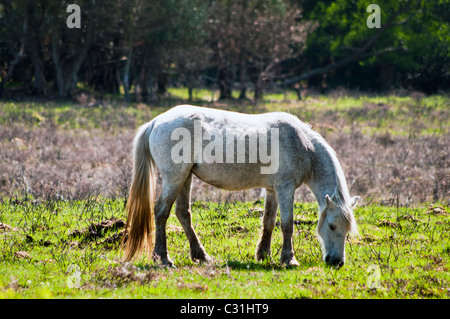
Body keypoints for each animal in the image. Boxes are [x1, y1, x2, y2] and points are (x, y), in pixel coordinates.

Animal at [120, 104, 358, 268]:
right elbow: (287, 224)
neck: (303, 145)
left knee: (183, 213)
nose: (337, 262)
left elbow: (268, 222)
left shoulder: (272, 190)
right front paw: (288, 259)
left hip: (184, 178)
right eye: (332, 226)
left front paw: (264, 255)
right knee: (161, 212)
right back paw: (163, 258)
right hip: (174, 178)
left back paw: (201, 256)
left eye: (347, 231)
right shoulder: (285, 188)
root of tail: (156, 122)